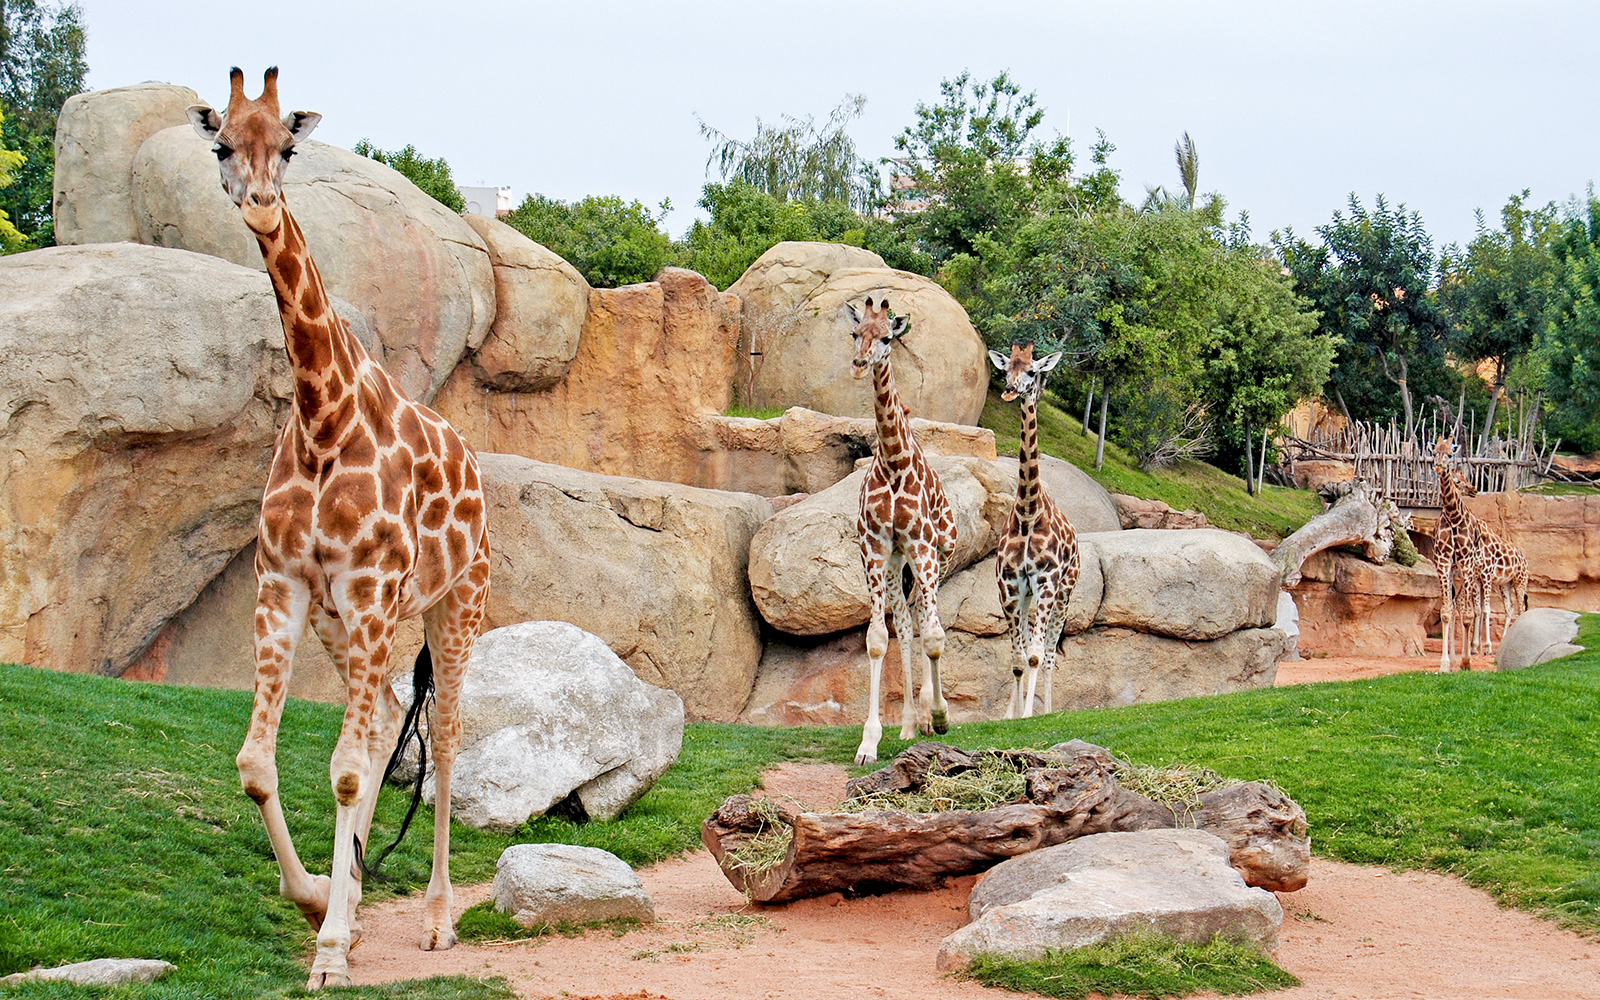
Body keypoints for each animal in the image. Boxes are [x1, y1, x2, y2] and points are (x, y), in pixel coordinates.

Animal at [188, 68, 490, 989]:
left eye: (289, 145)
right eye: (222, 144)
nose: (258, 205)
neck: (324, 416)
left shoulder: (368, 589)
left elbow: (351, 774)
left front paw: (328, 951)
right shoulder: (284, 584)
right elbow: (259, 764)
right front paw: (324, 902)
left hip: (454, 602)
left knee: (447, 741)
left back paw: (435, 919)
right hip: (349, 623)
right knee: (392, 713)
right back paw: (356, 907)